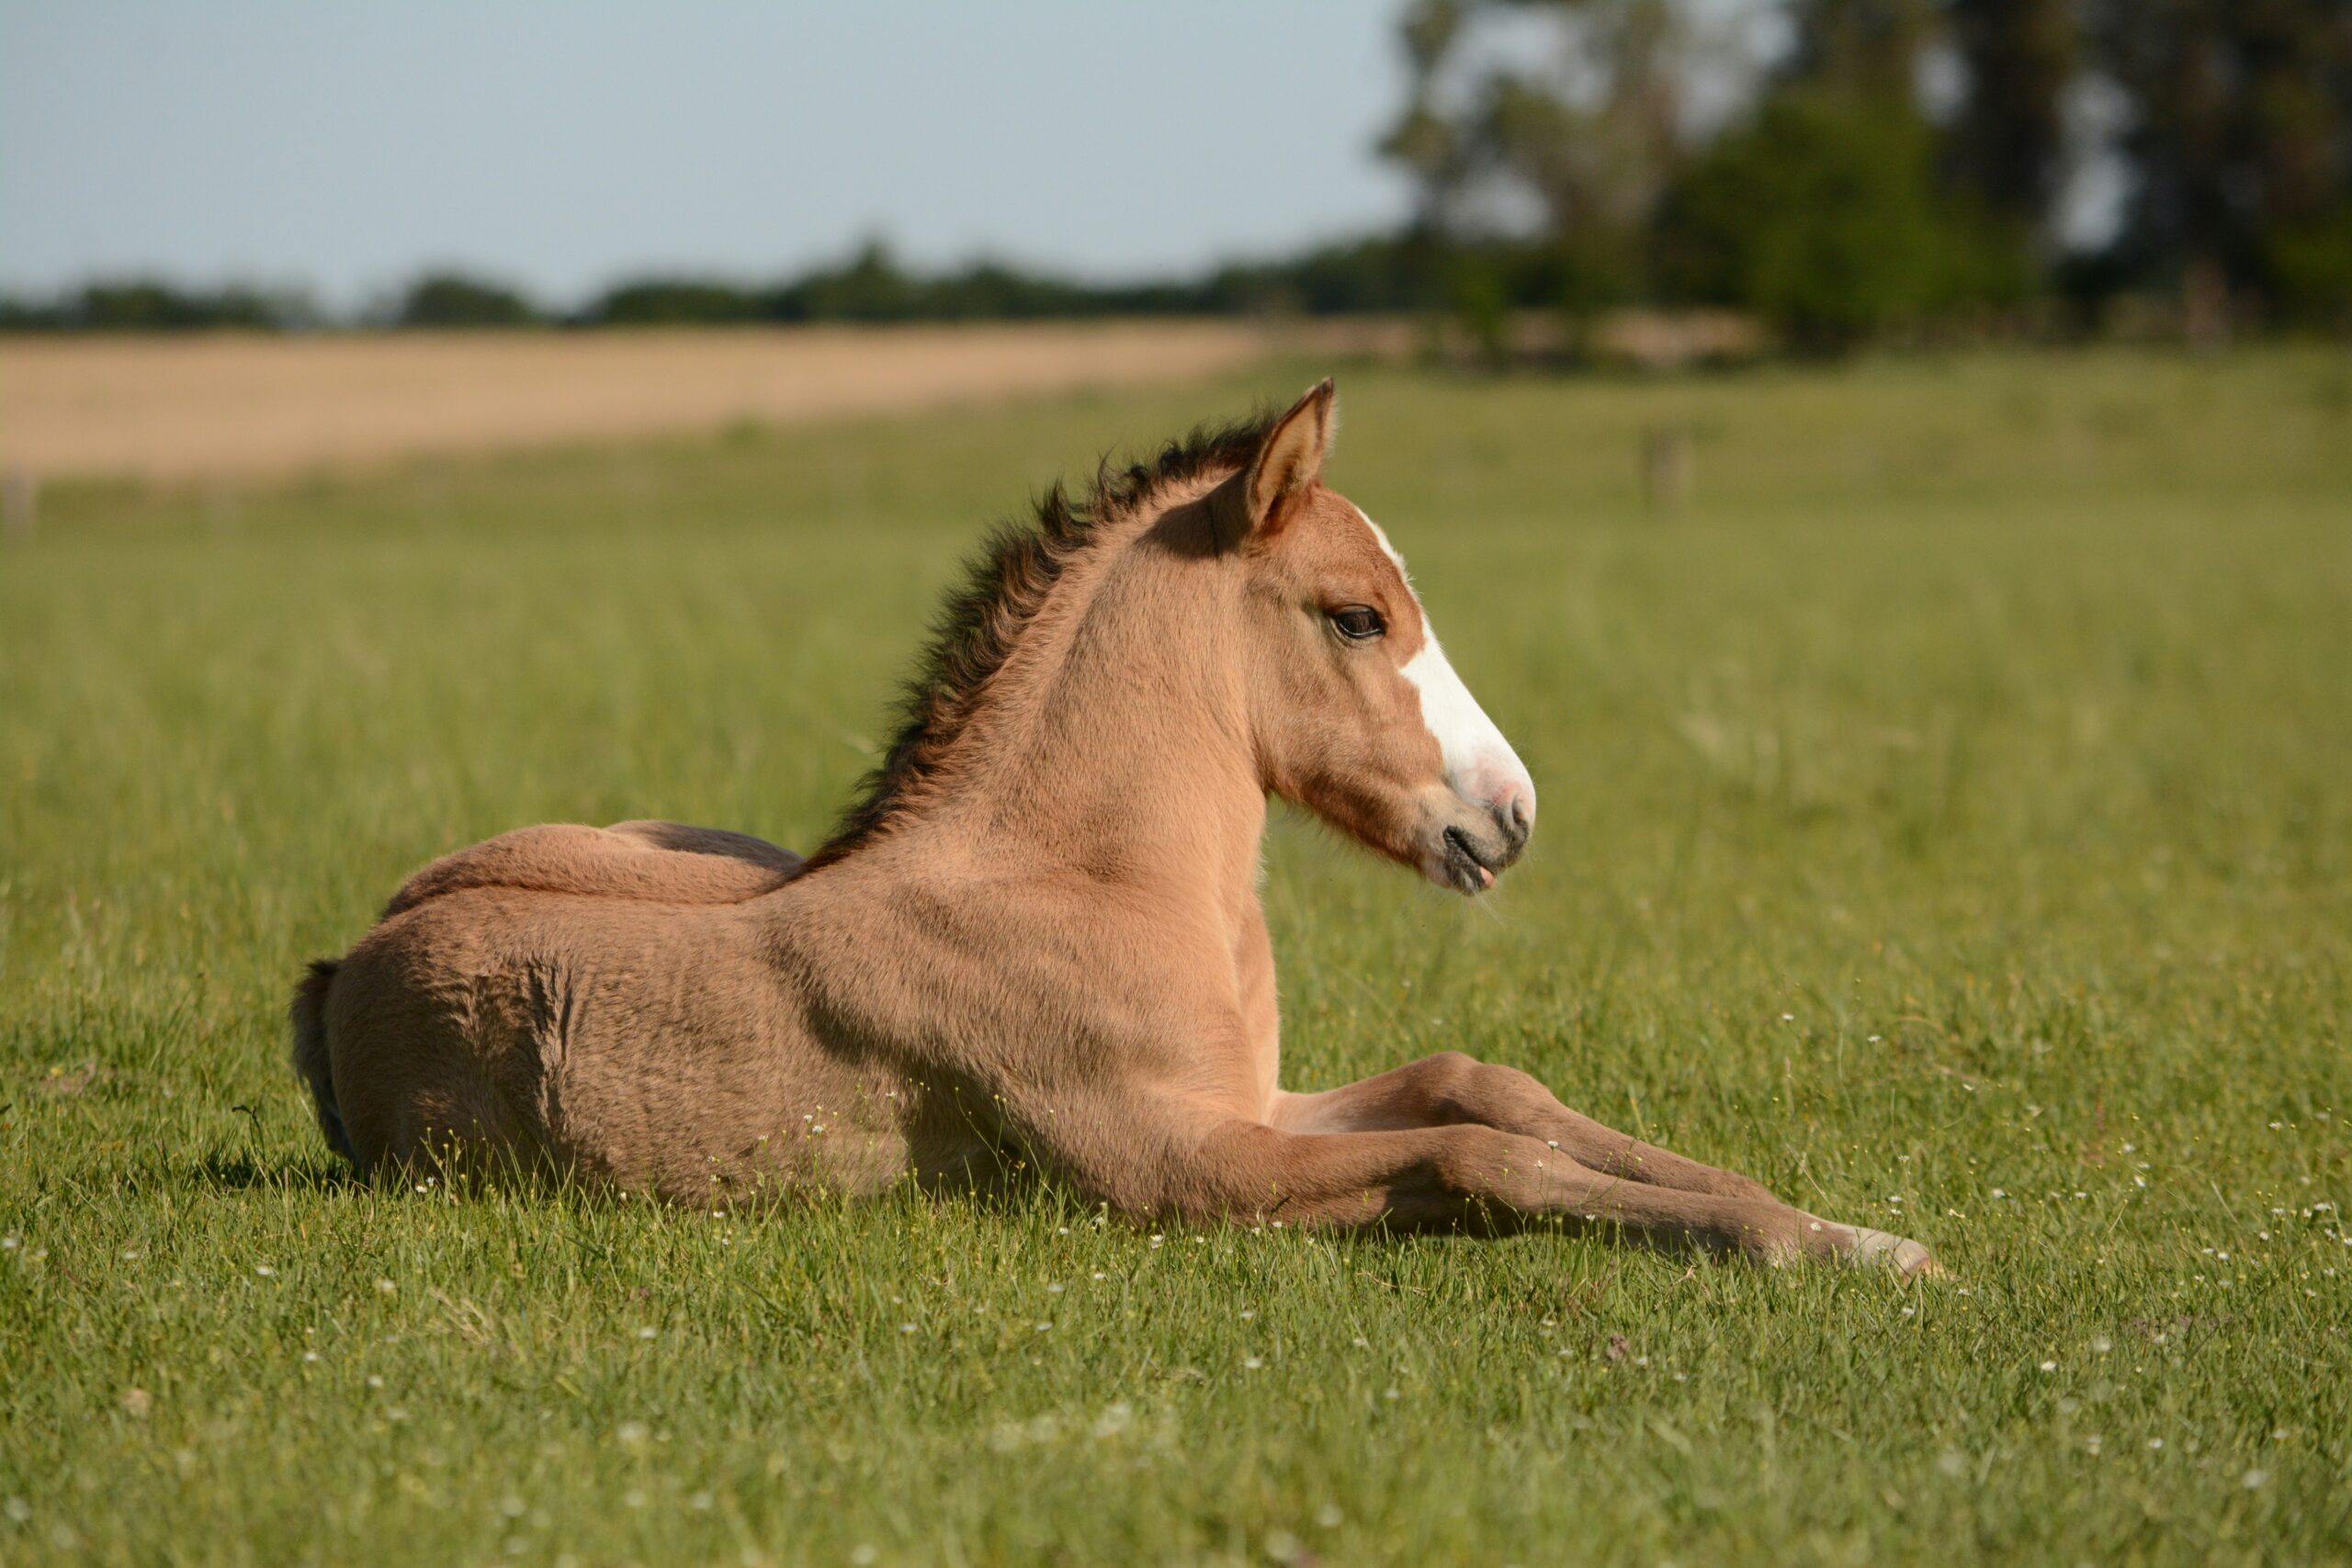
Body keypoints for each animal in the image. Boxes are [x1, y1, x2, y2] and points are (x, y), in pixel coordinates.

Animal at [291, 380, 1935, 1276]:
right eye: (1356, 614)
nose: (1510, 813)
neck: (1088, 884)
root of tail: (341, 963)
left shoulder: (1256, 1101)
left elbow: (1488, 1086)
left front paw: (1847, 1228)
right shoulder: (1178, 1166)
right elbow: (1483, 1157)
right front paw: (1814, 1245)